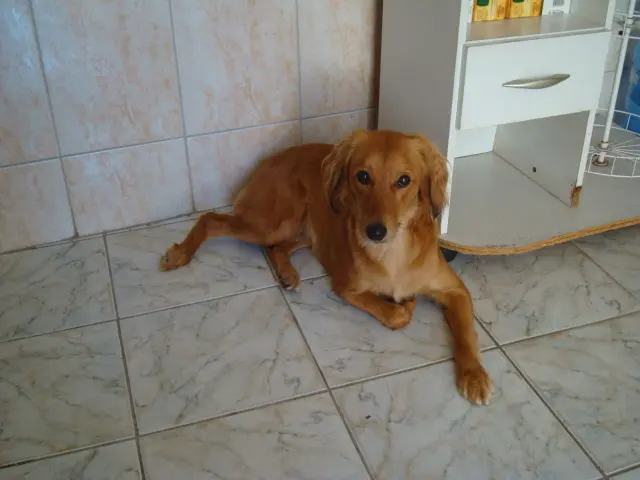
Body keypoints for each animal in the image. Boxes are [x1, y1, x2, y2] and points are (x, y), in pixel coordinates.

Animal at [160, 130, 493, 405]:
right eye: (363, 176)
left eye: (403, 180)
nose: (375, 231)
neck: (394, 250)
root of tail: (270, 159)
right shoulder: (346, 287)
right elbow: (397, 315)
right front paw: (404, 304)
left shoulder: (455, 290)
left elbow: (467, 334)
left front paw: (474, 375)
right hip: (278, 220)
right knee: (211, 220)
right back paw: (180, 254)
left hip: (302, 231)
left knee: (275, 248)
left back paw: (287, 274)